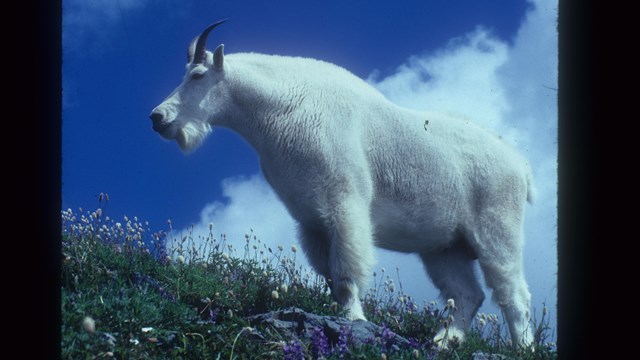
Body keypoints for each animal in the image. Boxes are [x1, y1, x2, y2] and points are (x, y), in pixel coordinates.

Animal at [149, 20, 536, 348]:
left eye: (198, 75)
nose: (158, 117)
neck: (280, 106)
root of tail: (521, 165)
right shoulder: (311, 220)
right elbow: (331, 278)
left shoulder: (344, 204)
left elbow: (348, 273)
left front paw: (352, 319)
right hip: (444, 247)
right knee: (467, 294)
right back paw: (442, 342)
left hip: (496, 230)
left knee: (514, 296)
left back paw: (522, 348)